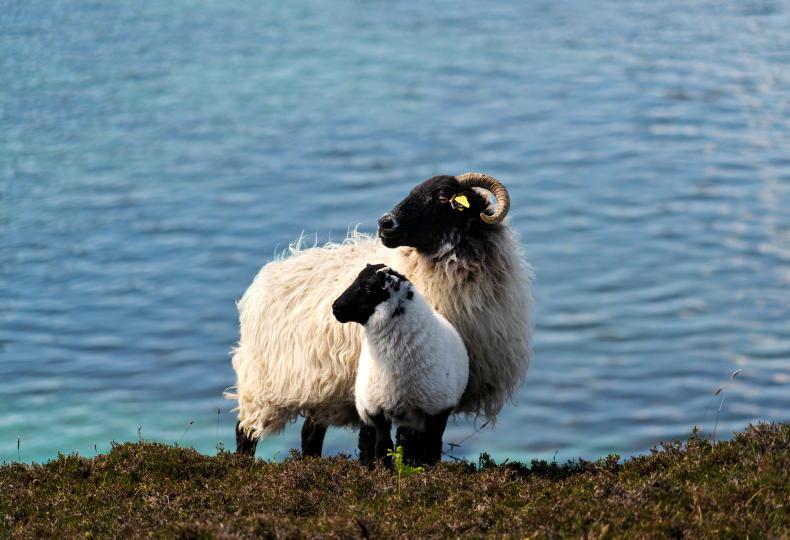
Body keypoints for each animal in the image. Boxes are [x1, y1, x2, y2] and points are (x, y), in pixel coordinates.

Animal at [332, 264, 469, 466]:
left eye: (368, 288)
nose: (335, 308)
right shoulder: (376, 409)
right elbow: (383, 445)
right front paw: (383, 469)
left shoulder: (438, 410)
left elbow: (432, 448)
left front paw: (428, 468)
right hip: (366, 404)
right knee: (368, 439)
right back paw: (368, 464)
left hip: (415, 416)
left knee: (412, 441)